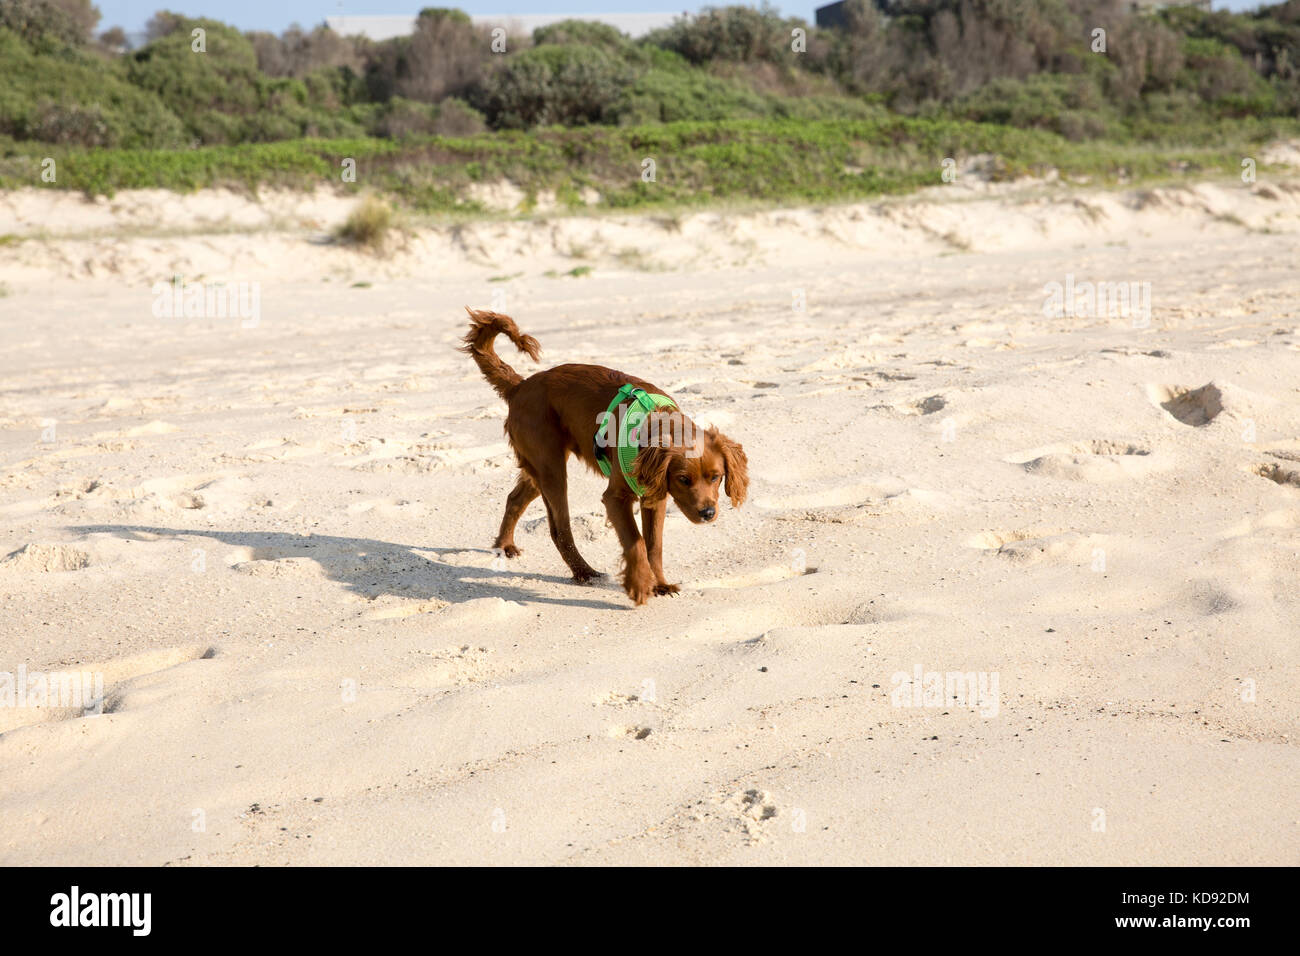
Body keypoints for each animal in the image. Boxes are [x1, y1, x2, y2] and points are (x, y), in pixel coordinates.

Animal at [462, 308, 754, 606]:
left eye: (716, 477)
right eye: (683, 479)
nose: (708, 513)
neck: (654, 422)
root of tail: (520, 387)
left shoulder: (655, 495)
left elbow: (654, 545)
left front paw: (660, 583)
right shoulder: (616, 498)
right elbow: (636, 541)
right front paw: (639, 585)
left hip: (539, 468)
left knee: (515, 498)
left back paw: (504, 546)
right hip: (551, 469)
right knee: (559, 529)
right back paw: (585, 573)